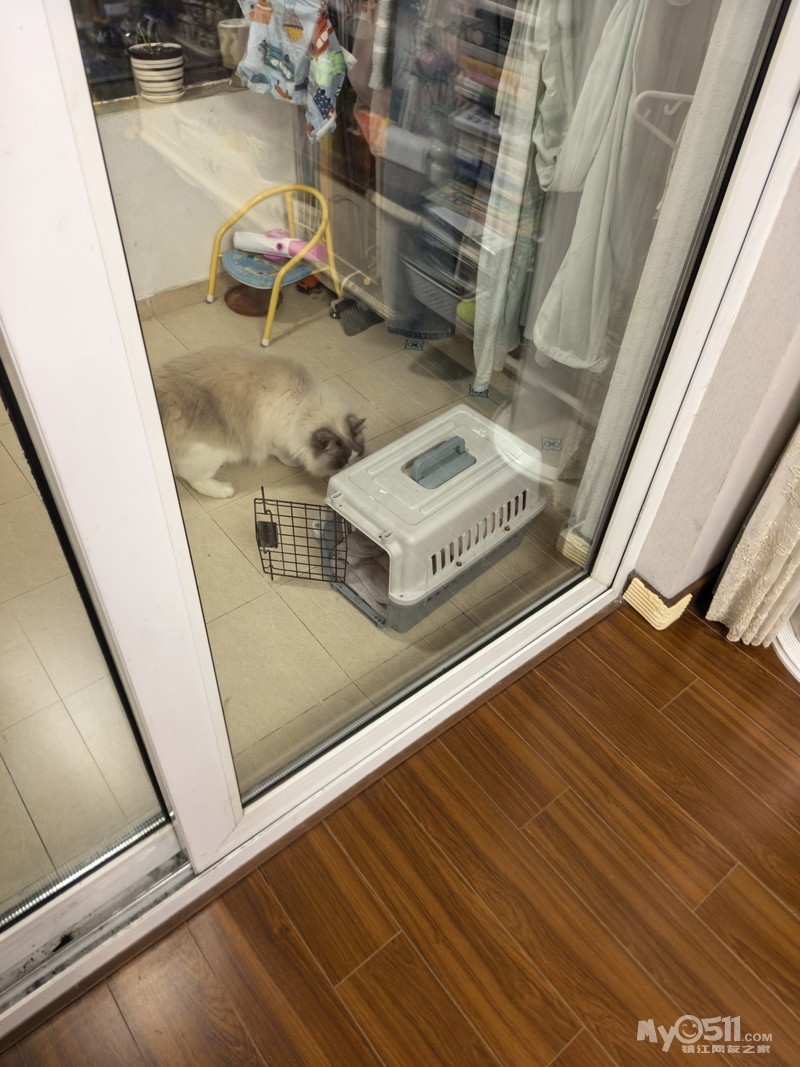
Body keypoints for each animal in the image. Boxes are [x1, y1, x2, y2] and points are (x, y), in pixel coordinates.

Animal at [153, 348, 366, 498]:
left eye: (357, 456)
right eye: (341, 462)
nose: (349, 467)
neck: (303, 404)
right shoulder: (276, 435)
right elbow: (281, 452)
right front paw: (293, 462)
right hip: (212, 453)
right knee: (194, 478)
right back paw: (224, 490)